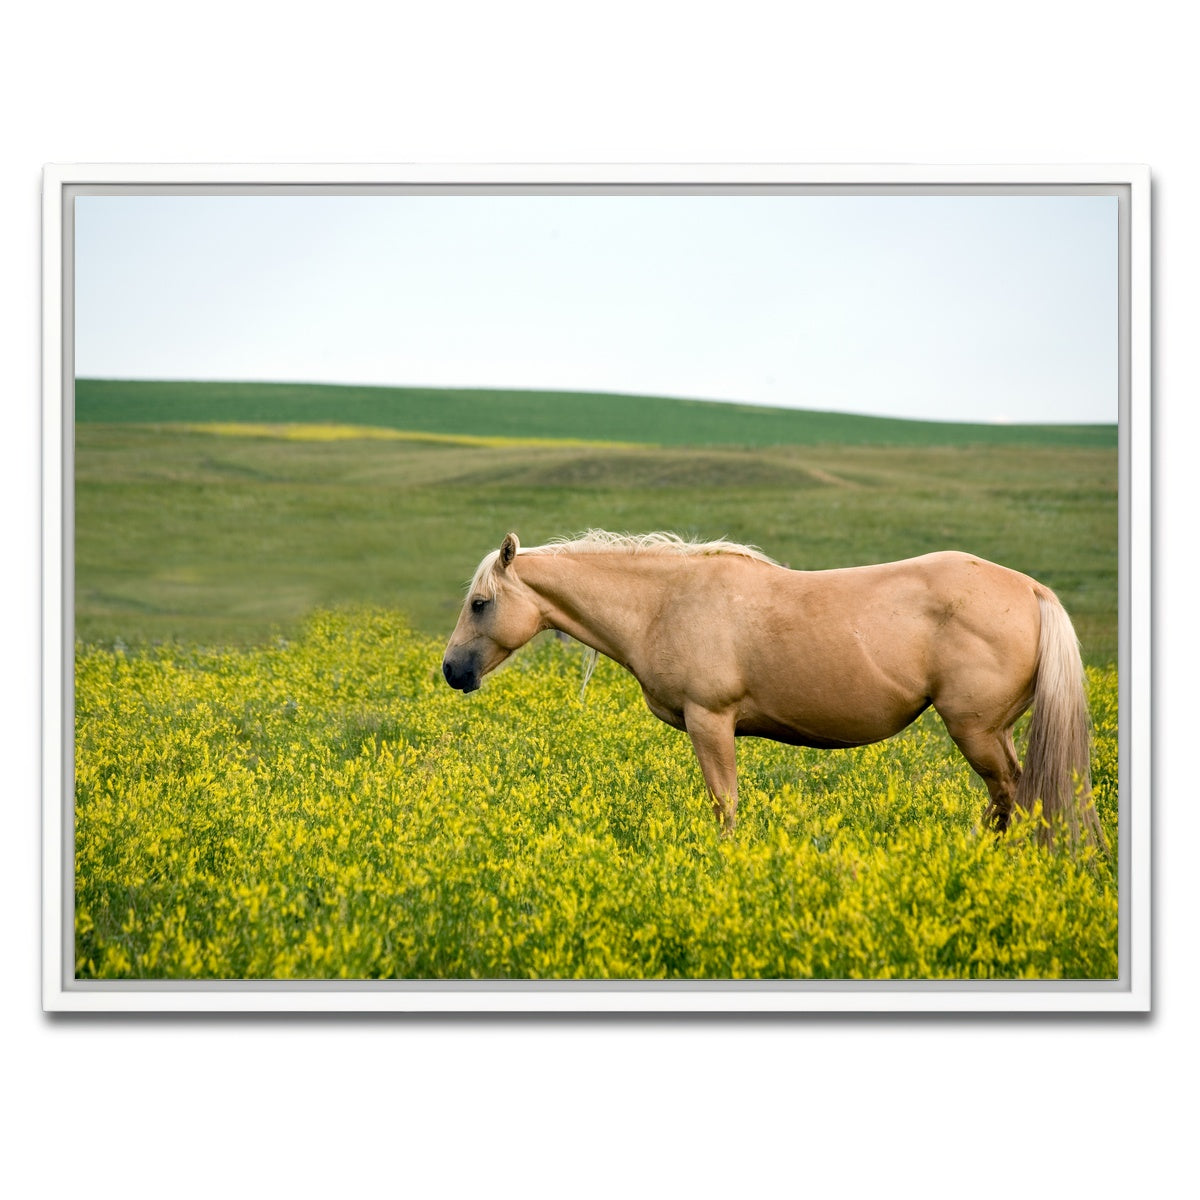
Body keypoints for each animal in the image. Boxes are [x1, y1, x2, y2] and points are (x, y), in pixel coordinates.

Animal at [442, 530, 1102, 848]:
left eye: (480, 604)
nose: (452, 671)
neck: (663, 602)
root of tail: (1031, 590)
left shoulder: (711, 722)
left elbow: (725, 805)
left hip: (976, 732)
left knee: (1013, 795)